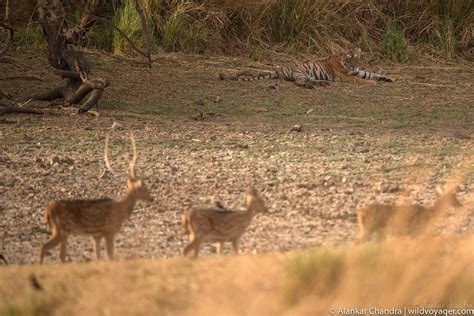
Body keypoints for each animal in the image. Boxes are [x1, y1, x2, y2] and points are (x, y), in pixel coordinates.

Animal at [40, 132, 153, 262]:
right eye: (144, 188)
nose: (151, 198)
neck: (121, 210)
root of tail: (47, 211)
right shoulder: (109, 230)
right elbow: (110, 255)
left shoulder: (96, 235)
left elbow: (98, 256)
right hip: (61, 229)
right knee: (45, 247)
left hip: (63, 232)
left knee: (60, 254)